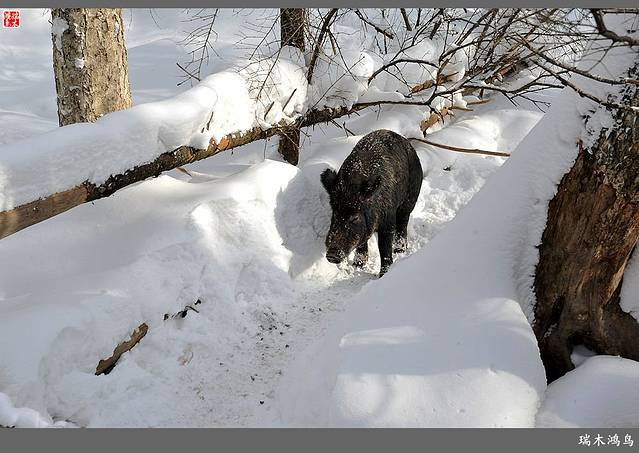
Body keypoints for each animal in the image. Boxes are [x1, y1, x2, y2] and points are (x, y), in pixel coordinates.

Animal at [320, 129, 423, 277]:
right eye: (335, 212)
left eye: (355, 217)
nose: (331, 255)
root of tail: (406, 141)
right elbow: (362, 242)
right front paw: (358, 265)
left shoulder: (388, 220)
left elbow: (384, 247)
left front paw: (383, 274)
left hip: (411, 197)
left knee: (403, 223)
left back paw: (400, 250)